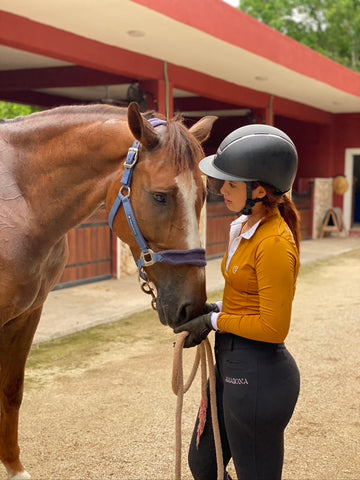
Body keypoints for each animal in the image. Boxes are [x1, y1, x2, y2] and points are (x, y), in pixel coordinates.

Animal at [0, 102, 217, 480]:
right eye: (160, 196)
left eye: (204, 196)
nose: (193, 309)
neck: (19, 204)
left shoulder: (27, 314)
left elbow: (12, 392)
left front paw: (14, 468)